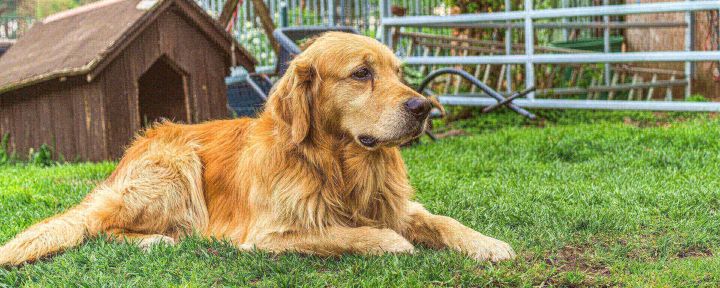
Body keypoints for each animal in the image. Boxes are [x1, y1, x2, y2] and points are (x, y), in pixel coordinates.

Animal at [1, 32, 516, 266]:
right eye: (361, 73)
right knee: (101, 226)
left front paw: (487, 243)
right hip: (176, 168)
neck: (337, 167)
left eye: (396, 72)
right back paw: (156, 238)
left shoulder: (394, 204)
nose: (424, 107)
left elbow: (442, 220)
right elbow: (352, 234)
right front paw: (392, 243)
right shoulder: (271, 234)